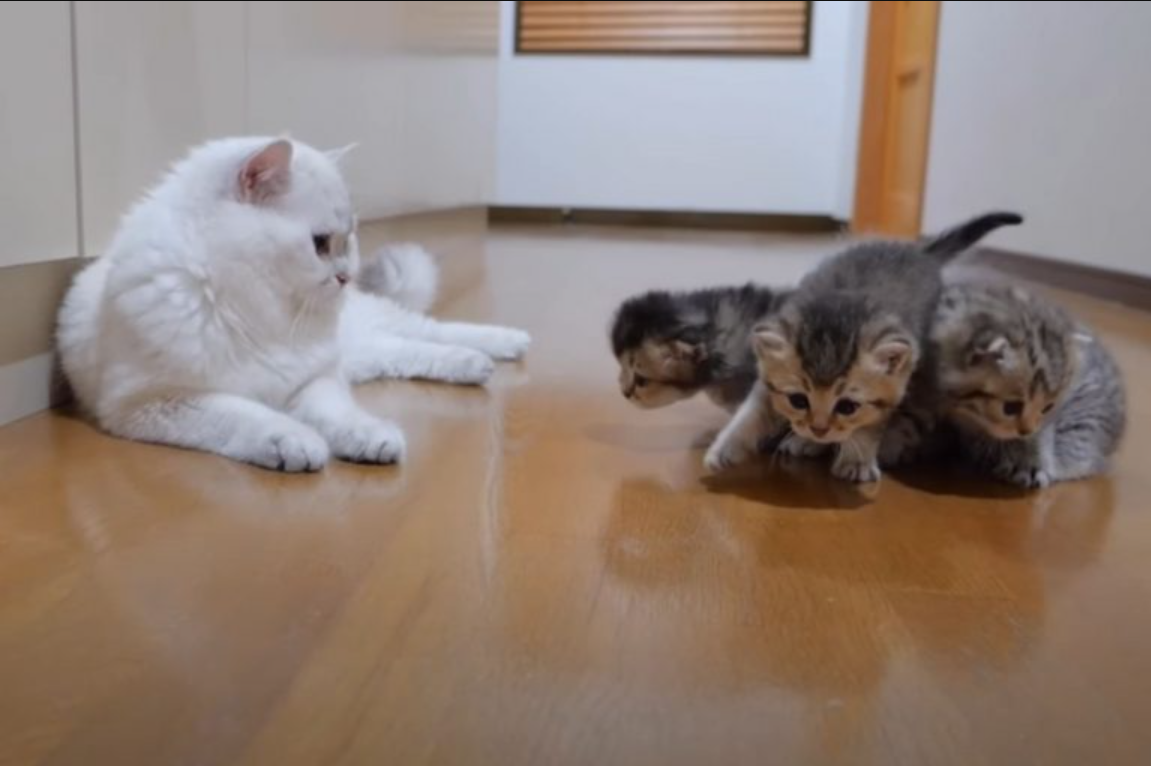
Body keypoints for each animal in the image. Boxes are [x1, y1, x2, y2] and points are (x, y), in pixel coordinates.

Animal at [58, 137, 529, 471]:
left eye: (347, 240)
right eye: (320, 243)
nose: (344, 276)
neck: (253, 310)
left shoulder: (313, 380)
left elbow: (338, 415)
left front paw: (368, 438)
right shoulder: (161, 401)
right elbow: (247, 415)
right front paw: (296, 443)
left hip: (368, 332)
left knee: (432, 330)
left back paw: (507, 345)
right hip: (364, 352)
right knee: (408, 351)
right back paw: (474, 365)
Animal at [704, 211, 1022, 480]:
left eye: (847, 406)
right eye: (798, 401)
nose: (819, 429)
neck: (842, 307)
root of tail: (916, 250)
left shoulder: (895, 385)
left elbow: (869, 425)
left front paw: (856, 460)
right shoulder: (766, 384)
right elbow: (749, 415)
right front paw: (724, 448)